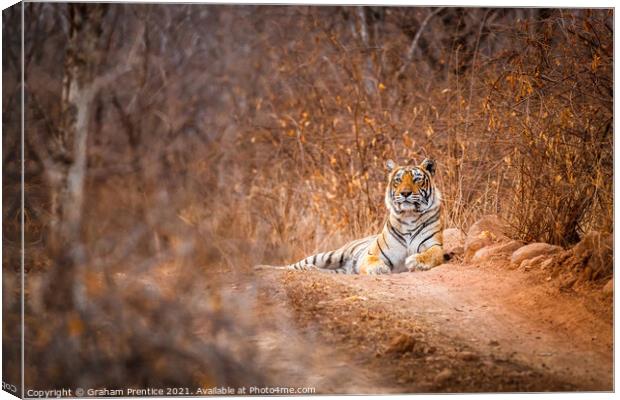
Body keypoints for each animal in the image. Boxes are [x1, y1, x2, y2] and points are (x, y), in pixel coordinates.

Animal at [256, 158, 446, 274]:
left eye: (416, 179)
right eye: (398, 180)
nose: (405, 193)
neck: (409, 216)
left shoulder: (434, 245)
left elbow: (432, 254)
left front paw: (415, 261)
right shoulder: (371, 253)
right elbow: (372, 261)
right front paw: (379, 269)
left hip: (338, 269)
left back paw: (311, 270)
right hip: (328, 255)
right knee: (292, 265)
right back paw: (262, 267)